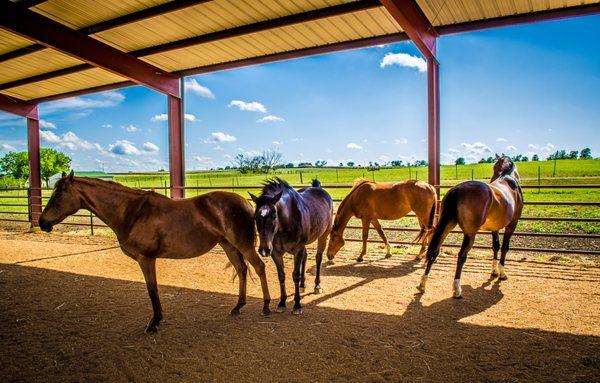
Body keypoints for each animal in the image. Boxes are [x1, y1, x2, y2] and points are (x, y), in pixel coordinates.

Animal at [37, 172, 270, 334]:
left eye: (59, 193)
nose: (42, 222)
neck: (132, 211)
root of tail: (244, 202)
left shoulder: (146, 259)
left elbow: (152, 290)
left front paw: (154, 322)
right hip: (228, 245)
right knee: (242, 269)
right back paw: (238, 306)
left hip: (243, 245)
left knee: (259, 267)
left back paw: (267, 306)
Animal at [248, 178, 332, 316]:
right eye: (255, 217)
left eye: (274, 216)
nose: (264, 250)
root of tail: (319, 188)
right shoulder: (276, 252)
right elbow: (281, 275)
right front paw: (282, 303)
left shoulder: (297, 250)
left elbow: (295, 275)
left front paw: (297, 305)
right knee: (305, 257)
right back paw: (303, 285)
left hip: (323, 235)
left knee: (318, 258)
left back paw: (317, 286)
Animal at [418, 156, 524, 300]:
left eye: (495, 166)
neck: (508, 179)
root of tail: (457, 190)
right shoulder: (512, 224)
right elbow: (504, 247)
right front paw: (501, 273)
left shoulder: (495, 228)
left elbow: (496, 246)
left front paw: (494, 271)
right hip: (470, 233)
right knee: (462, 255)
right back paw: (457, 290)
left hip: (447, 225)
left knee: (433, 251)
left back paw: (422, 284)